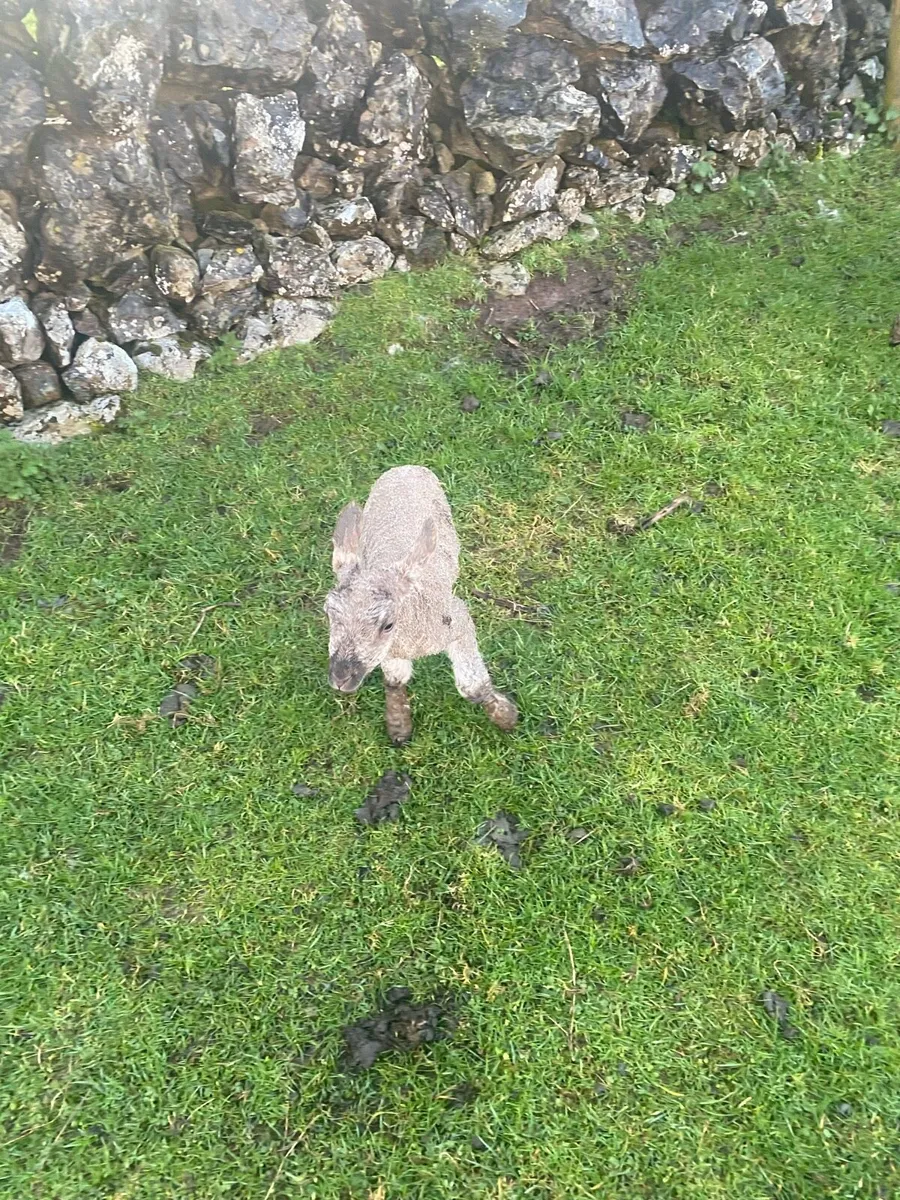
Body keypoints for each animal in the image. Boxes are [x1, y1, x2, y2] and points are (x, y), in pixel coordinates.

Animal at [325, 465, 518, 744]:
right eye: (328, 614)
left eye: (388, 624)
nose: (340, 678)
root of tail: (405, 467)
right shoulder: (391, 652)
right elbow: (395, 679)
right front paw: (399, 727)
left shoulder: (457, 618)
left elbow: (473, 687)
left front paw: (505, 716)